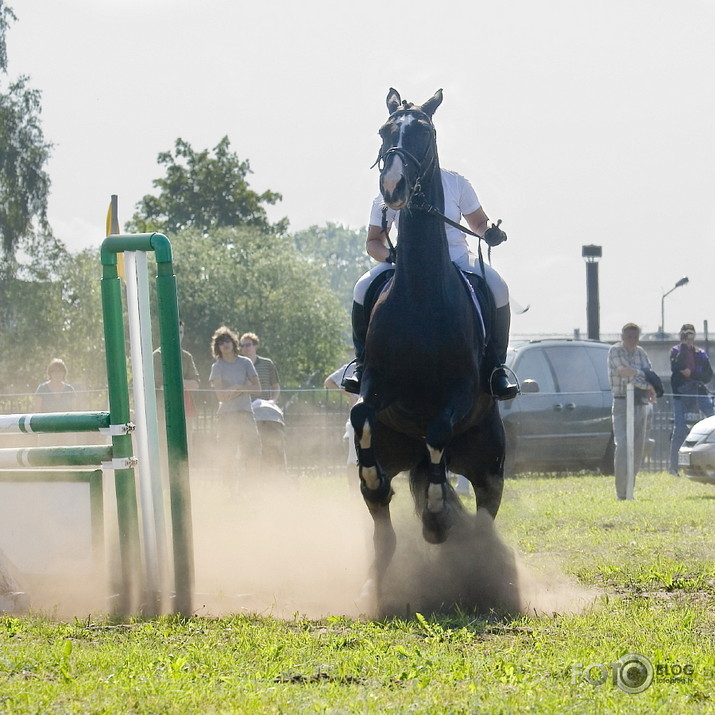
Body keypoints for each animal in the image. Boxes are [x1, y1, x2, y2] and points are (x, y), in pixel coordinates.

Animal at [352, 88, 506, 604]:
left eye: (424, 131)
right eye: (385, 130)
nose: (393, 187)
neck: (420, 294)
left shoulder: (459, 389)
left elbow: (438, 430)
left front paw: (437, 517)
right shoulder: (378, 381)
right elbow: (359, 413)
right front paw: (373, 479)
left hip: (489, 465)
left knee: (482, 520)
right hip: (397, 449)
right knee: (382, 530)